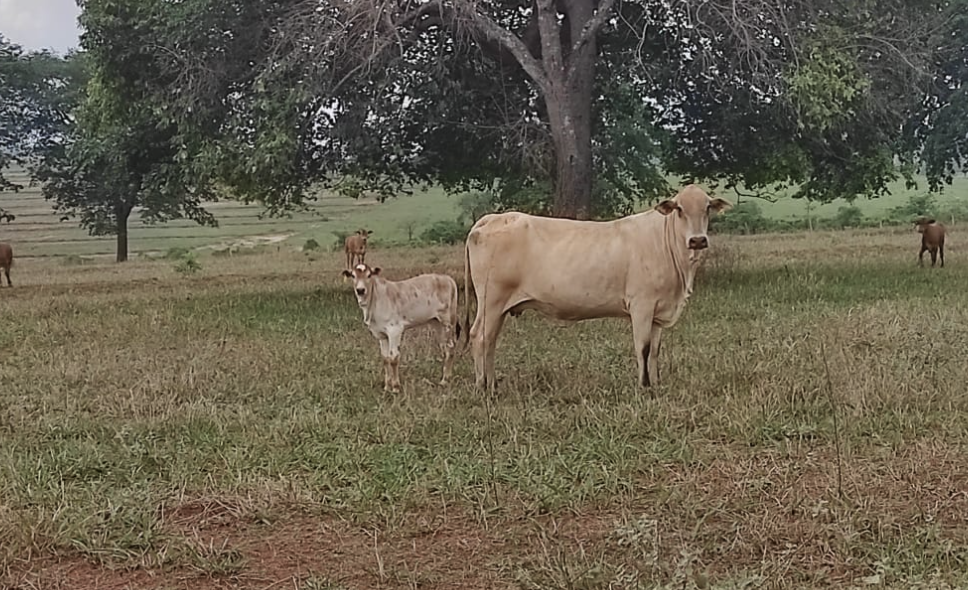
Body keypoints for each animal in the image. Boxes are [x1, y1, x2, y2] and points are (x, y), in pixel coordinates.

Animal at [340, 264, 462, 394]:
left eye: (369, 275)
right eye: (353, 275)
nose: (360, 290)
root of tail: (448, 279)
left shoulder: (394, 330)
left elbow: (393, 358)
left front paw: (396, 387)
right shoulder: (381, 334)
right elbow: (385, 359)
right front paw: (387, 387)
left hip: (448, 321)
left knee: (450, 347)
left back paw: (445, 380)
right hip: (437, 323)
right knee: (444, 348)